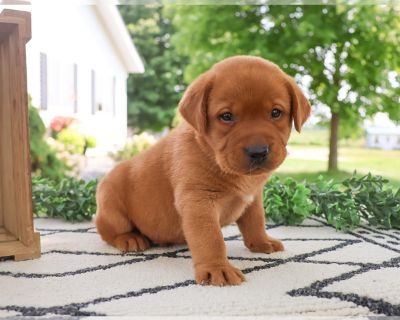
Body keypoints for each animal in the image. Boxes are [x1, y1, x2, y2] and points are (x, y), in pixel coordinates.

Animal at [95, 55, 310, 284]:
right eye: (226, 116)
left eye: (276, 112)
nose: (258, 151)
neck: (214, 156)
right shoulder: (198, 200)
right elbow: (210, 238)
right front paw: (217, 268)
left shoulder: (253, 197)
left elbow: (256, 221)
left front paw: (261, 242)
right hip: (110, 201)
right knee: (107, 230)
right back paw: (129, 238)